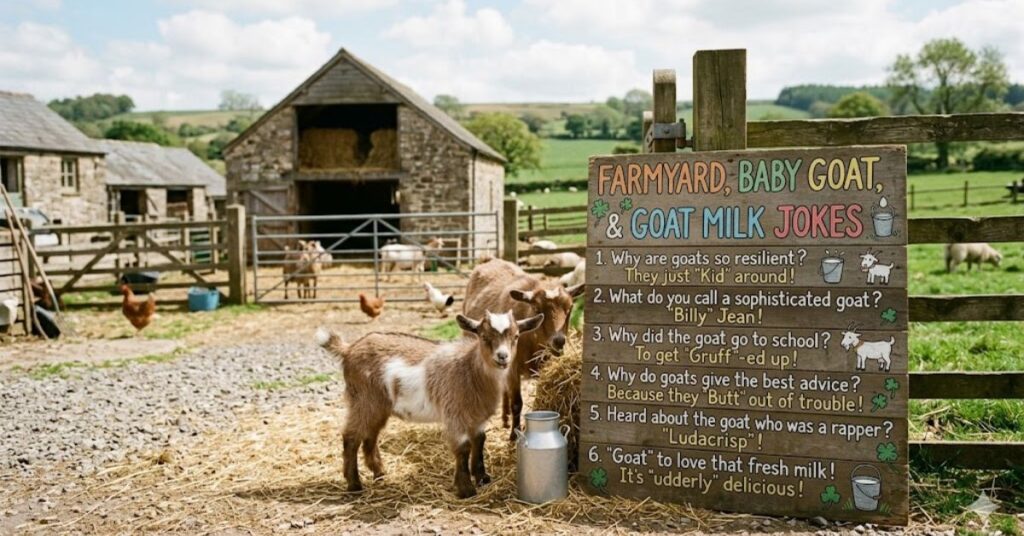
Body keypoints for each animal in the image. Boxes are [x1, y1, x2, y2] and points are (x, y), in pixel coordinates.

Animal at [316, 311, 544, 498]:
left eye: (516, 336)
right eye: (484, 337)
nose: (502, 357)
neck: (470, 368)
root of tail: (349, 349)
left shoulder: (477, 417)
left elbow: (479, 442)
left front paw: (483, 478)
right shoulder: (455, 413)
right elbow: (463, 447)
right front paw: (466, 489)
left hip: (379, 406)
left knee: (370, 436)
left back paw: (380, 473)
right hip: (363, 400)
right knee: (351, 436)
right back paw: (354, 484)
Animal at [463, 259, 584, 441]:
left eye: (569, 309)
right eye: (537, 309)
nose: (559, 341)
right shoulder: (512, 368)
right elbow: (517, 403)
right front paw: (515, 433)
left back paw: (505, 419)